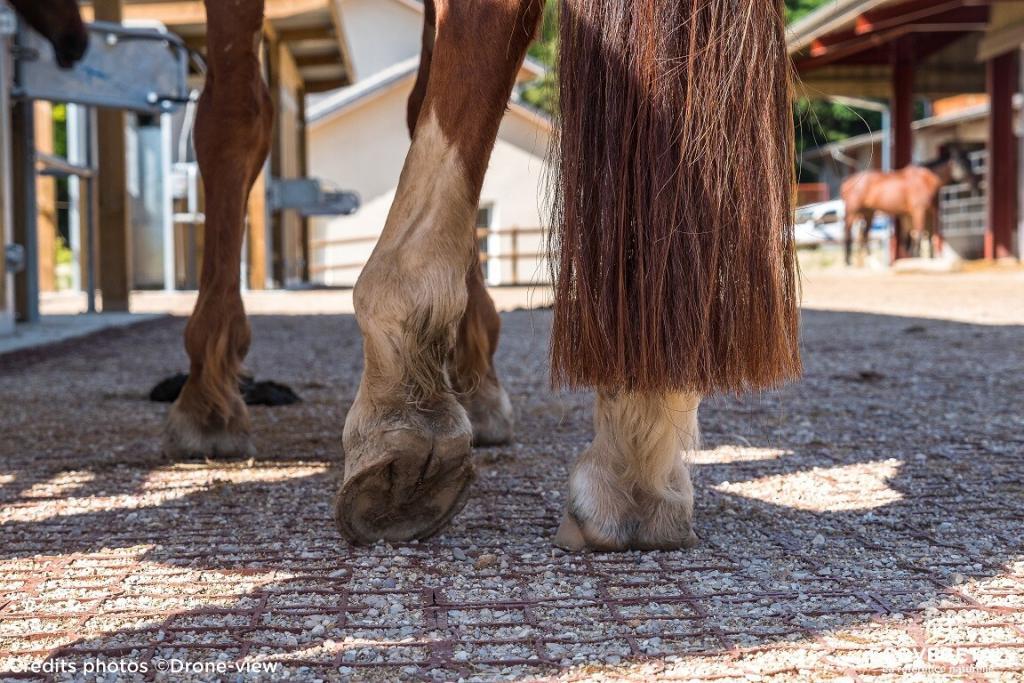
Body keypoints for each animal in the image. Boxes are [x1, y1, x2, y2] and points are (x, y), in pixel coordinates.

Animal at [843, 148, 978, 266]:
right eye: (961, 164)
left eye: (970, 163)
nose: (975, 183)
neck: (926, 180)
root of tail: (847, 182)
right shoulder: (919, 211)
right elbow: (919, 234)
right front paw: (917, 258)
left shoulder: (928, 213)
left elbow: (929, 235)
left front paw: (930, 259)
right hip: (852, 212)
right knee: (848, 233)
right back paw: (848, 262)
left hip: (868, 213)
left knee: (865, 235)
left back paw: (870, 260)